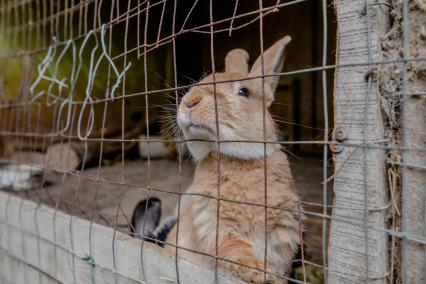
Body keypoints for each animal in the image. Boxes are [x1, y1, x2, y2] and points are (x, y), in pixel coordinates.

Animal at [165, 36, 302, 282]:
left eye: (244, 91)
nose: (190, 101)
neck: (236, 158)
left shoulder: (282, 231)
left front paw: (269, 276)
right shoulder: (215, 223)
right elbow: (234, 249)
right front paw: (258, 271)